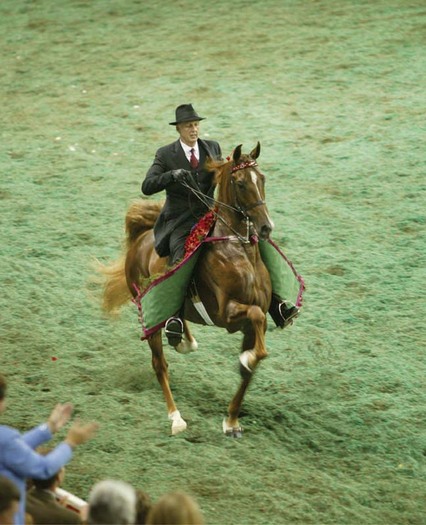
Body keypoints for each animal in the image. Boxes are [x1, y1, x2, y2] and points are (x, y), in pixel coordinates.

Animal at [100, 142, 274, 434]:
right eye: (240, 183)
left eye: (261, 179)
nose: (265, 228)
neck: (239, 252)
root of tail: (141, 239)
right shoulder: (226, 314)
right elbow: (256, 321)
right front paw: (247, 359)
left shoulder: (250, 328)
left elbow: (249, 370)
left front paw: (231, 421)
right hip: (150, 316)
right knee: (159, 364)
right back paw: (176, 417)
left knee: (177, 322)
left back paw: (182, 337)